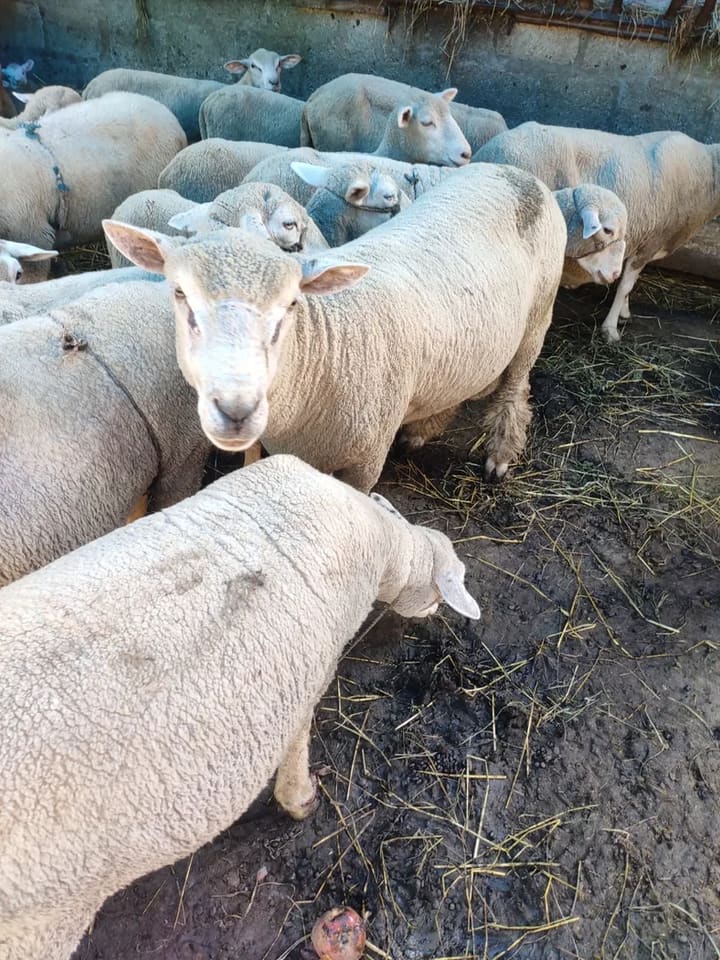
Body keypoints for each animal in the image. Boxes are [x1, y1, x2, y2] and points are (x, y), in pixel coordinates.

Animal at [0, 452, 479, 960]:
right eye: (442, 589)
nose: (434, 614)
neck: (380, 546)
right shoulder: (309, 675)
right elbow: (296, 747)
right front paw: (301, 800)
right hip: (40, 926)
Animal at [474, 121, 720, 341]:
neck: (708, 172)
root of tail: (488, 151)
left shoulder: (638, 240)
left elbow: (626, 283)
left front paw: (624, 312)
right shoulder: (651, 242)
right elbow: (625, 285)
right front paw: (610, 329)